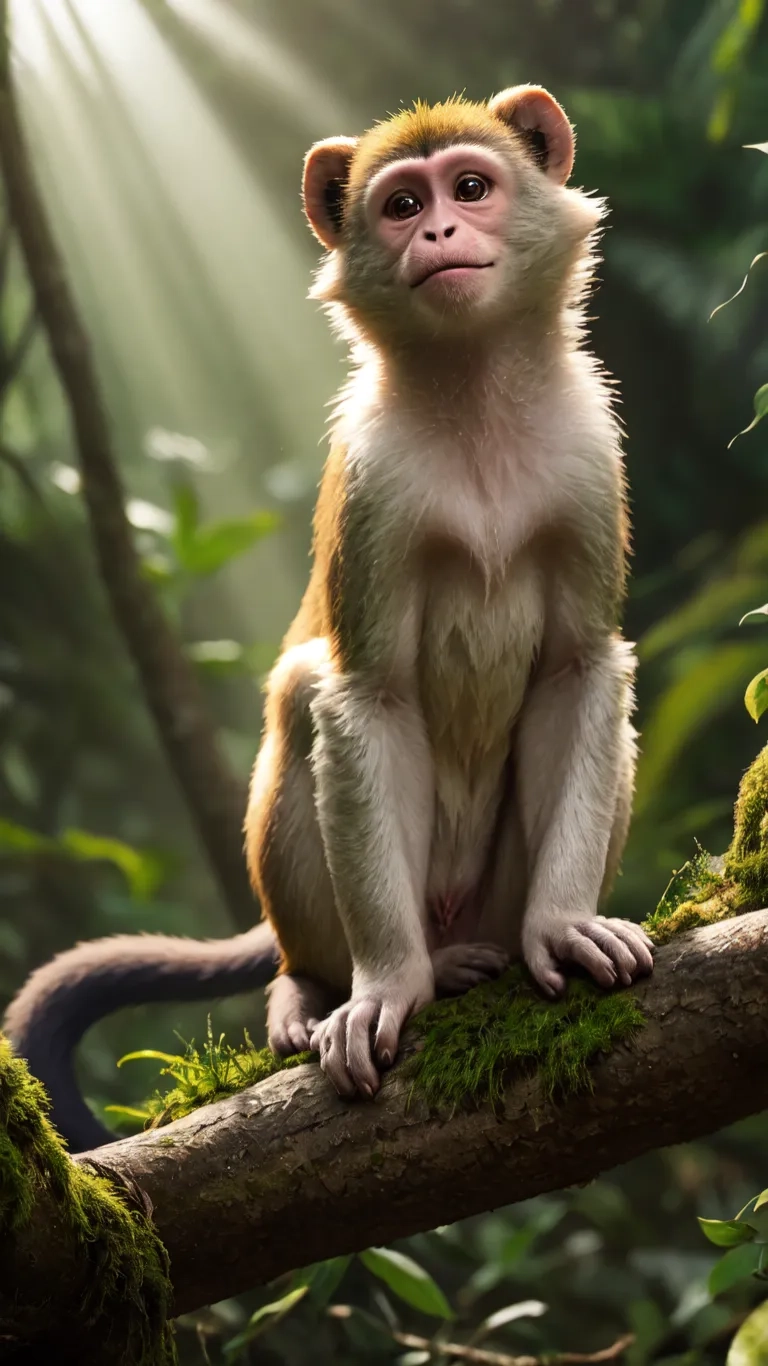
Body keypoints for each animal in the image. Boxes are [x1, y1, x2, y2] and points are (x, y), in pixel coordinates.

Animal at [4, 85, 650, 1147]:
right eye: (402, 204)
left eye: (471, 187)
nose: (437, 231)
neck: (475, 397)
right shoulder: (373, 480)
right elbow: (365, 699)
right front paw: (387, 988)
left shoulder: (590, 456)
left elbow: (578, 670)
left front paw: (560, 926)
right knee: (304, 694)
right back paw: (326, 988)